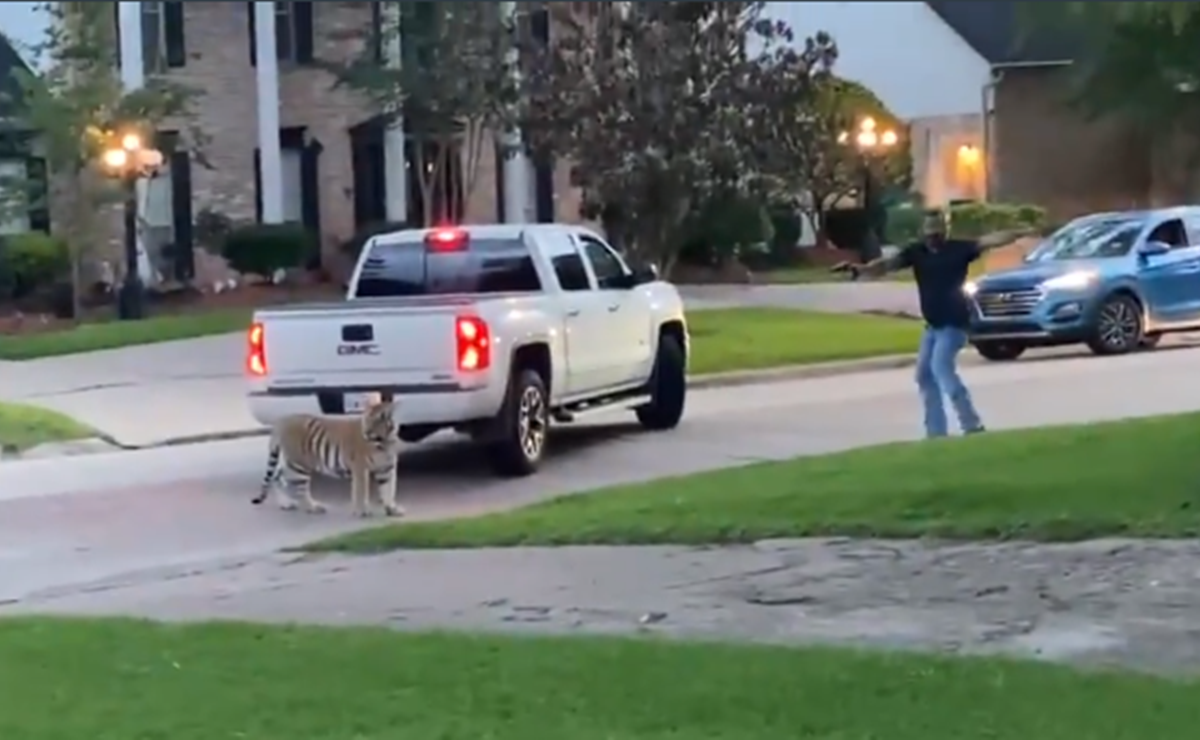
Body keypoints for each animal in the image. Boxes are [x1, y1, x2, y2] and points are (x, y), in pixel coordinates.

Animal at [250, 400, 405, 515]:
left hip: (292, 463)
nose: (366, 432)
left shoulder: (387, 468)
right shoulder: (360, 468)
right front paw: (363, 511)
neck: (385, 441)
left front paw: (392, 509)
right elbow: (361, 490)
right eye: (366, 420)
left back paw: (286, 504)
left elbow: (389, 489)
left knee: (277, 476)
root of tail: (282, 421)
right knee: (301, 489)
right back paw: (313, 507)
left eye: (377, 420)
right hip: (299, 465)